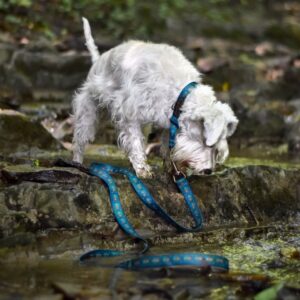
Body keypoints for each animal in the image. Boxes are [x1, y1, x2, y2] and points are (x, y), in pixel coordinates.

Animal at [71, 18, 238, 178]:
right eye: (207, 143)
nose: (208, 171)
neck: (179, 93)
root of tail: (98, 60)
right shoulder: (129, 114)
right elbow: (134, 140)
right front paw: (143, 169)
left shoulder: (168, 122)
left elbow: (166, 145)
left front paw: (172, 169)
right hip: (88, 109)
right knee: (80, 139)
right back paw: (77, 163)